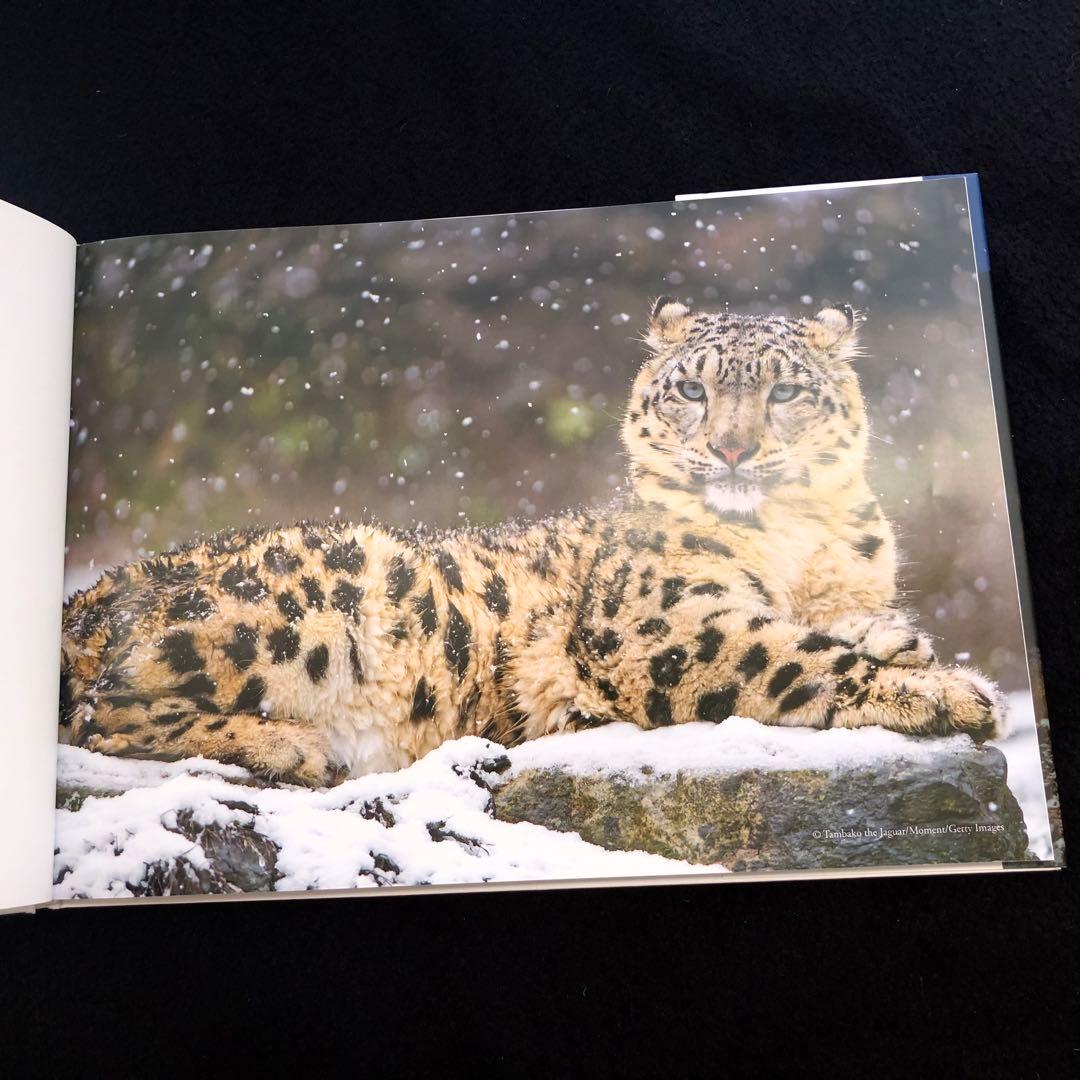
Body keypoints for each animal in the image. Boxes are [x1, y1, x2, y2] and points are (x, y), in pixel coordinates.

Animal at [60, 299, 1004, 786]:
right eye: (691, 390)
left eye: (785, 395)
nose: (732, 449)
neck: (797, 541)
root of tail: (85, 600)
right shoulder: (655, 623)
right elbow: (786, 654)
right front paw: (951, 692)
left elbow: (828, 625)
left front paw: (898, 639)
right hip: (313, 599)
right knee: (97, 712)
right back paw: (288, 744)